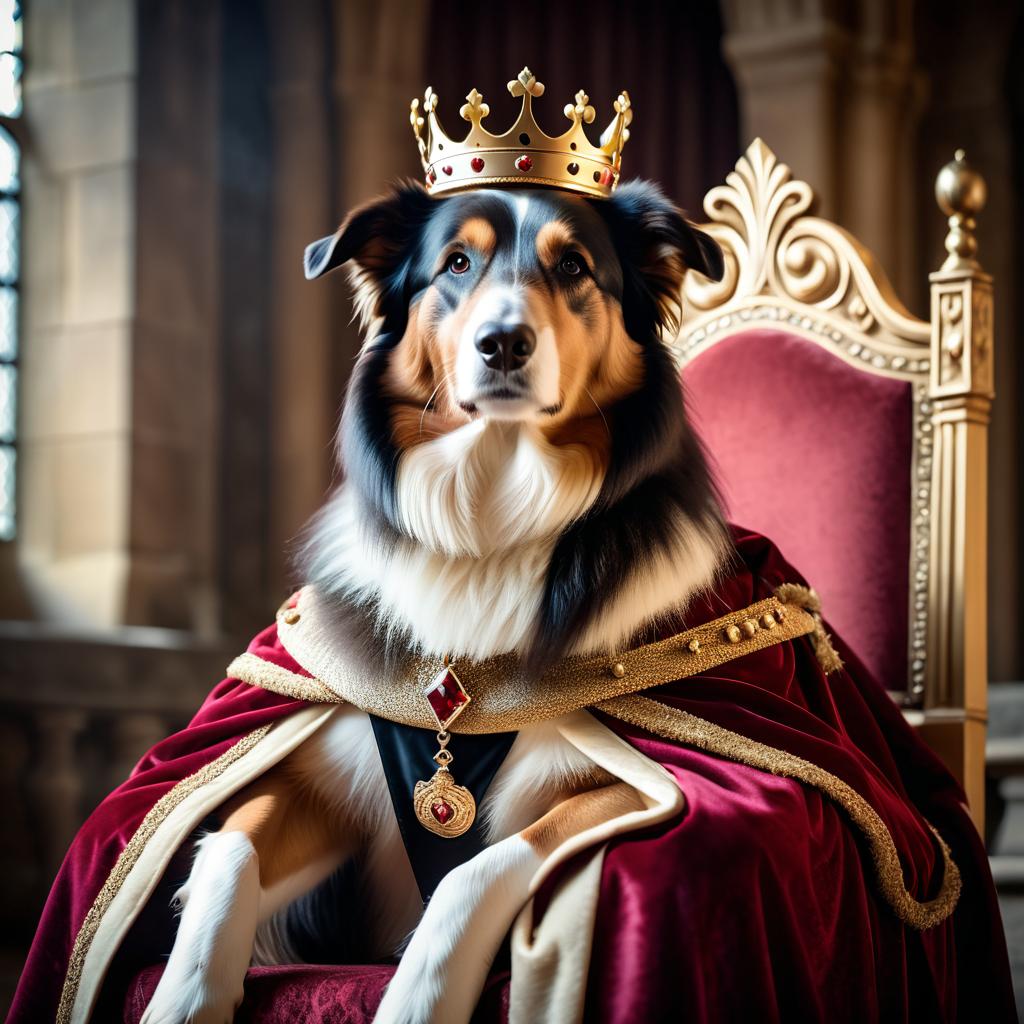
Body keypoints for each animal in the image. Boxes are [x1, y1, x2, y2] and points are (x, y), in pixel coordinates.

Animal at [138, 178, 729, 1024]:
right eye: (456, 263)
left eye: (574, 266)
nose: (503, 343)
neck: (492, 513)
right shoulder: (319, 774)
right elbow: (228, 846)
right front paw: (180, 1000)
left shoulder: (629, 786)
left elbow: (472, 871)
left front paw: (417, 998)